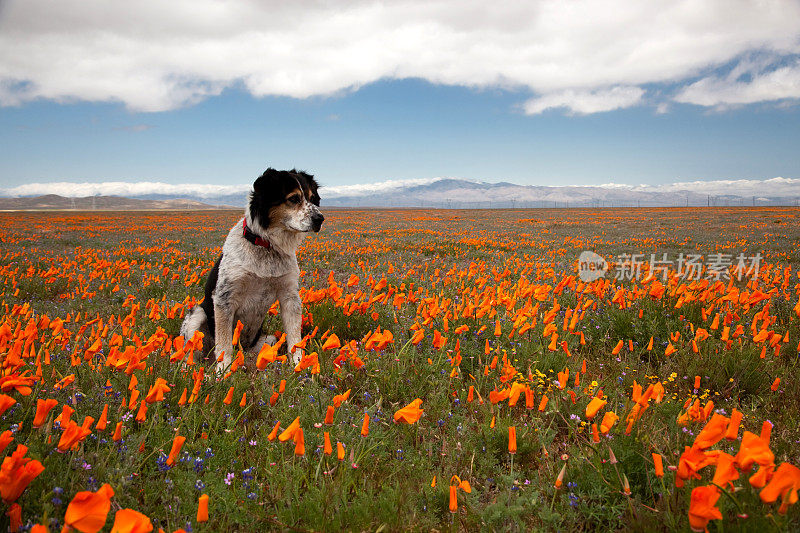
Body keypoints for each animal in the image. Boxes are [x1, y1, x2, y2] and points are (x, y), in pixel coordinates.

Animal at [180, 167, 324, 374]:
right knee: (191, 353)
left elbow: (295, 338)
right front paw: (222, 373)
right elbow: (224, 344)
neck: (266, 246)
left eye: (313, 198)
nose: (320, 219)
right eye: (294, 198)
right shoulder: (224, 298)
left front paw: (299, 364)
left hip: (267, 339)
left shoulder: (289, 294)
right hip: (197, 316)